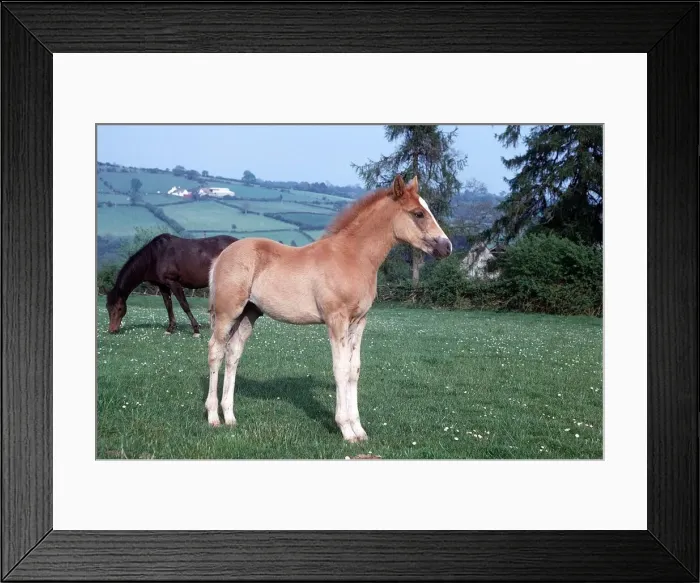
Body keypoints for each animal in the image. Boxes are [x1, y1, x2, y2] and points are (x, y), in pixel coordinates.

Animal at [106, 233, 239, 336]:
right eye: (107, 307)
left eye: (119, 308)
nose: (112, 330)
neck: (155, 256)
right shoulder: (163, 286)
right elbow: (168, 305)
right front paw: (170, 329)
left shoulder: (173, 282)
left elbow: (184, 305)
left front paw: (196, 330)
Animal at [205, 175, 452, 443]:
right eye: (418, 213)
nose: (447, 247)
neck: (353, 256)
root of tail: (221, 256)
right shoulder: (337, 320)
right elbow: (340, 368)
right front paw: (346, 429)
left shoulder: (359, 321)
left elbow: (354, 369)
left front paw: (359, 429)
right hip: (228, 312)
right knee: (215, 351)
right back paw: (213, 417)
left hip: (248, 314)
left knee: (233, 354)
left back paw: (230, 417)